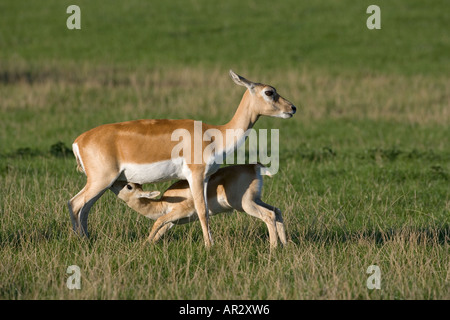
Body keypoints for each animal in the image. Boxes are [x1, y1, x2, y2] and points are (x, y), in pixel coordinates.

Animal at [67, 70, 296, 248]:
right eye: (269, 92)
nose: (292, 108)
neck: (215, 135)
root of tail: (78, 141)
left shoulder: (205, 177)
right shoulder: (195, 174)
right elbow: (202, 210)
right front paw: (209, 246)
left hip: (105, 183)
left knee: (84, 208)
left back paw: (86, 239)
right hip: (101, 181)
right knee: (75, 203)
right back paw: (80, 241)